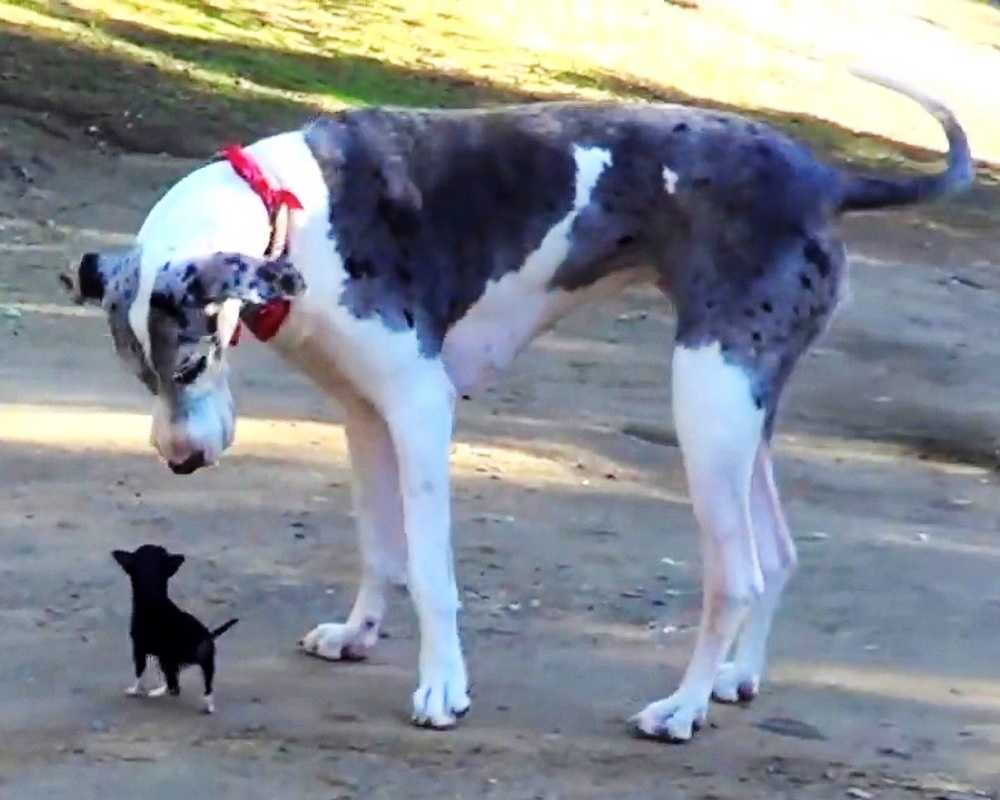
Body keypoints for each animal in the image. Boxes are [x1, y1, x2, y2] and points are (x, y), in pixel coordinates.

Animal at [112, 544, 237, 712]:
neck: (153, 597)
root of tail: (207, 636)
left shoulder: (138, 648)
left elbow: (139, 672)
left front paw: (134, 690)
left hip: (172, 660)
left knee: (178, 685)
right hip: (194, 661)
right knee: (182, 684)